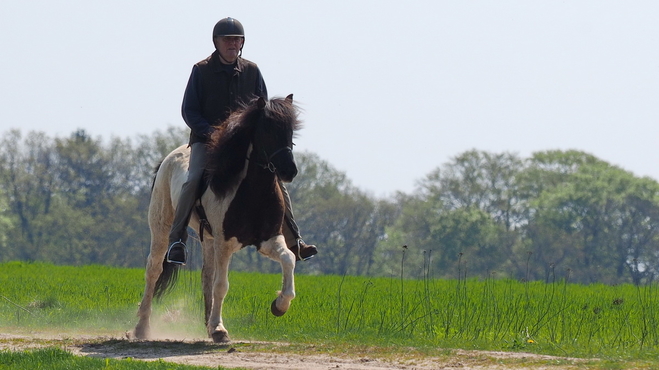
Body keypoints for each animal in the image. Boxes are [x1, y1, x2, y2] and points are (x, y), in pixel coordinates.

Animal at [134, 95, 302, 344]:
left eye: (290, 132)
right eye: (268, 130)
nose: (289, 171)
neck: (252, 191)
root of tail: (168, 158)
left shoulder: (269, 240)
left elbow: (289, 259)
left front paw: (279, 305)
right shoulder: (225, 243)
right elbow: (221, 285)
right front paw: (220, 331)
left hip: (208, 239)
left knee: (206, 276)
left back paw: (207, 324)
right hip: (162, 229)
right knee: (153, 270)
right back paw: (141, 328)